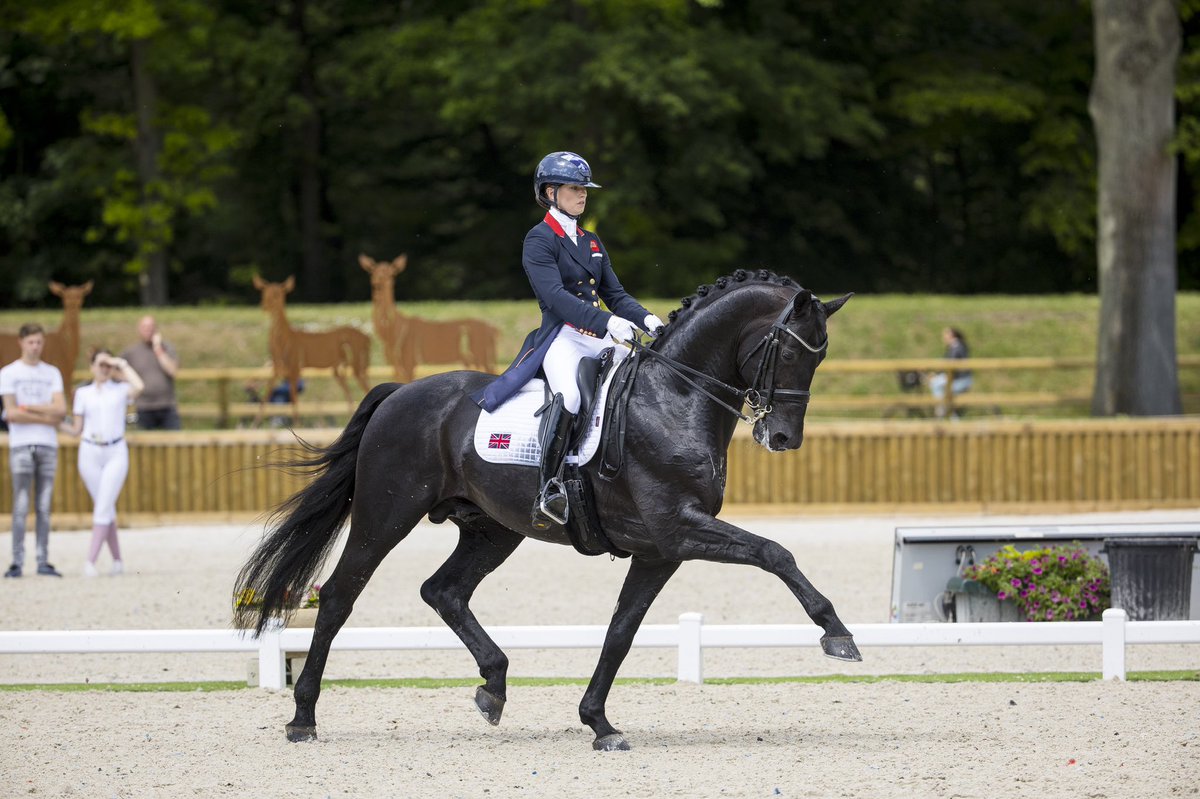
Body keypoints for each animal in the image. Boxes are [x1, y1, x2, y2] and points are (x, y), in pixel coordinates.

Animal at [235, 268, 857, 751]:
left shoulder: (660, 551)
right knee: (340, 596)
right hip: (384, 516)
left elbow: (621, 631)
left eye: (821, 356)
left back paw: (493, 688)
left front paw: (600, 723)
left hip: (491, 531)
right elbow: (774, 552)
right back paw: (303, 718)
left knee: (443, 591)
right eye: (790, 352)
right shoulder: (680, 529)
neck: (674, 398)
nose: (783, 438)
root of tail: (400, 393)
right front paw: (837, 634)